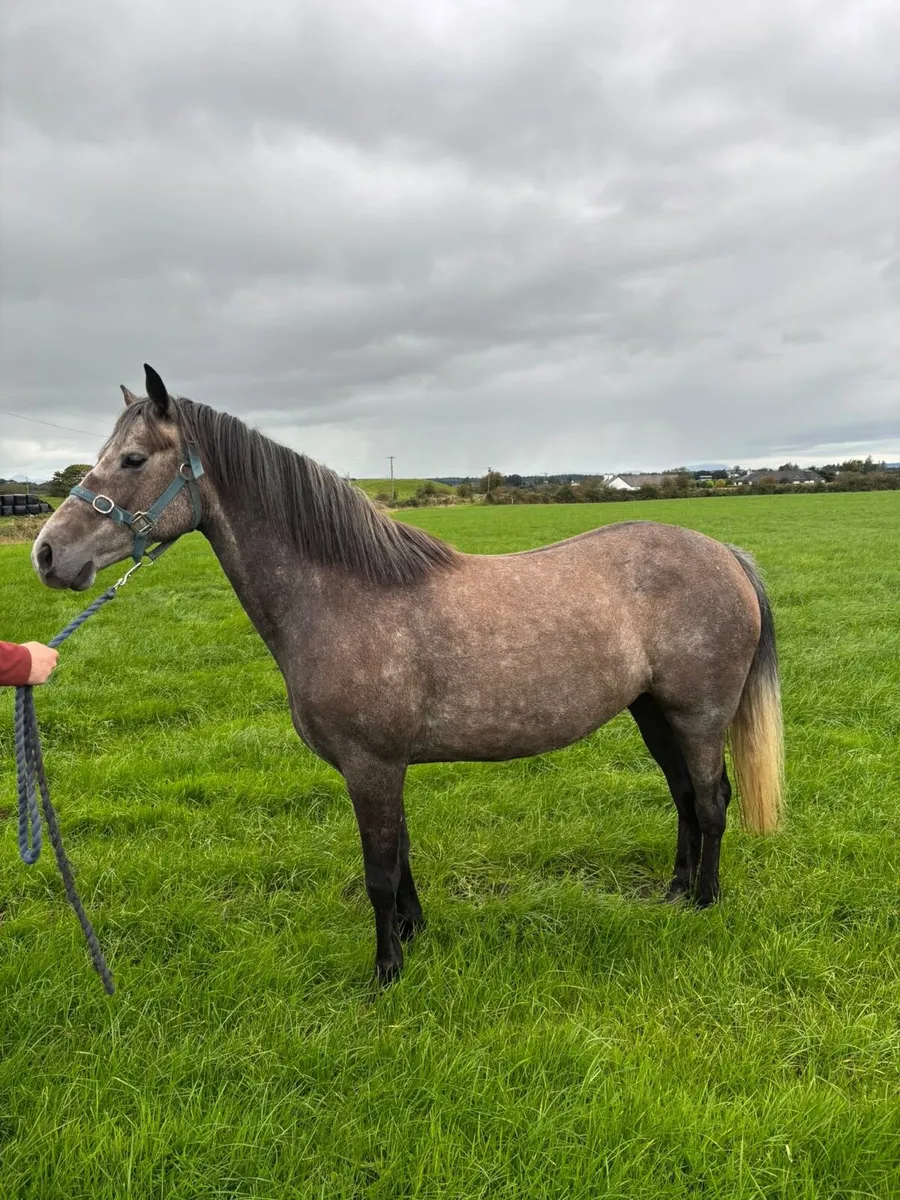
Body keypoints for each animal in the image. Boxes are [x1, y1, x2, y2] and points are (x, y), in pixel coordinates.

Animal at [32, 365, 783, 983]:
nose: (47, 554)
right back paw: (677, 890)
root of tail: (726, 554)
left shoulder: (370, 765)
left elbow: (379, 870)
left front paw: (386, 971)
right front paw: (414, 934)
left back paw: (704, 902)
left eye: (132, 459)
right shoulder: (383, 766)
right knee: (684, 796)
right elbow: (402, 858)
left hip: (697, 715)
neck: (343, 594)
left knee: (710, 801)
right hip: (653, 711)